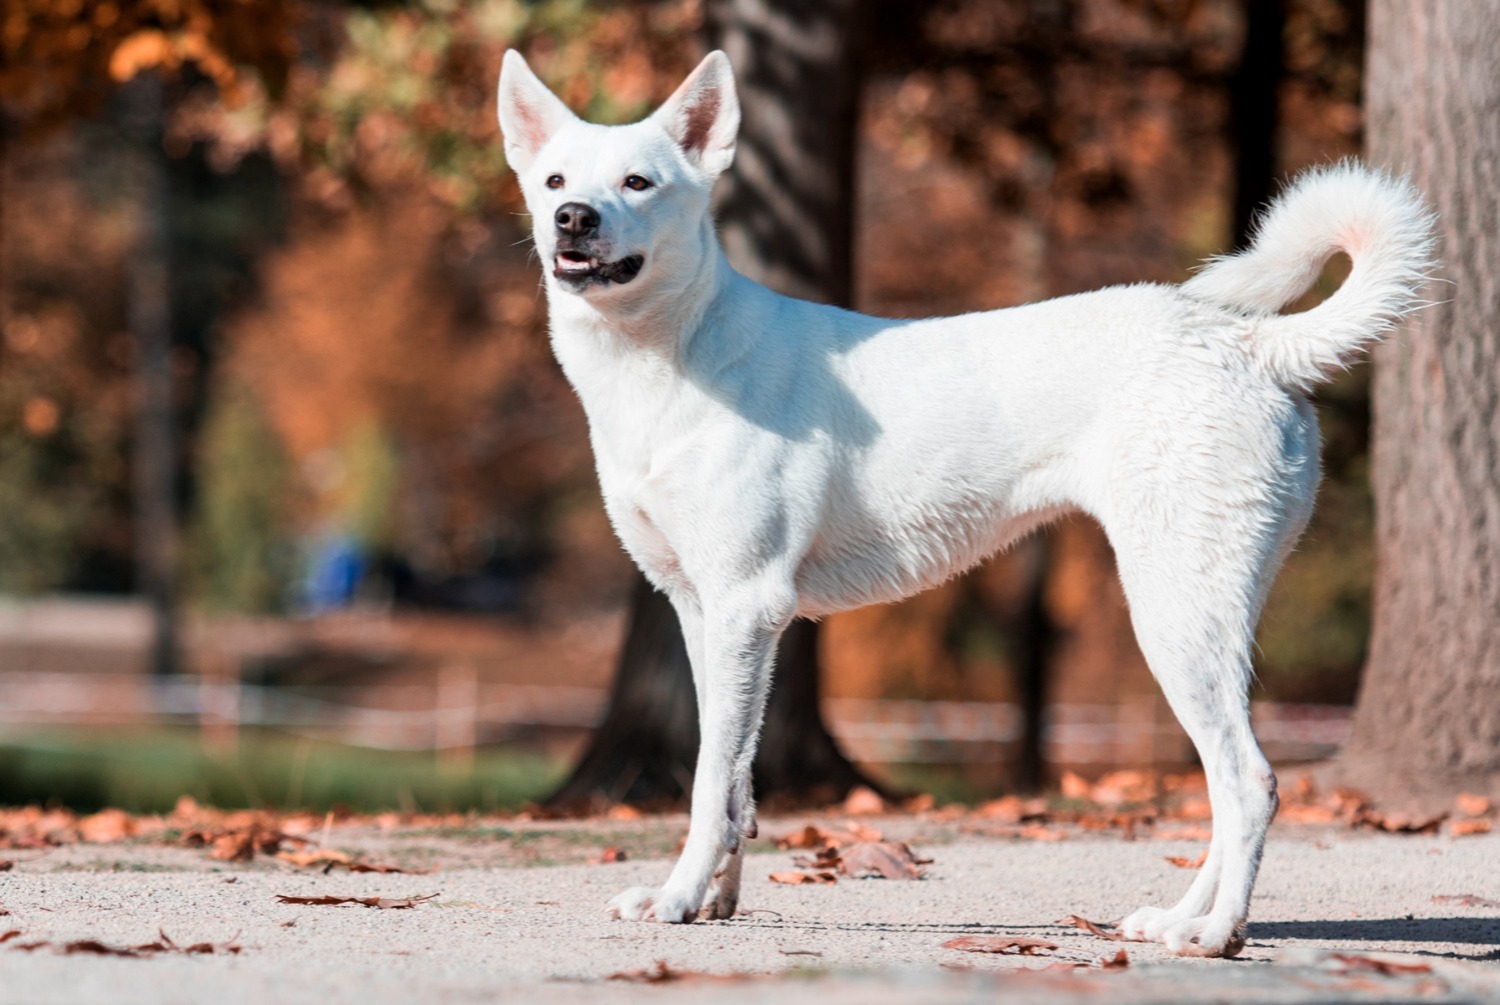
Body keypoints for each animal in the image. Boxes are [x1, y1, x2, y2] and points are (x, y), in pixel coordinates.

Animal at [498, 49, 1434, 960]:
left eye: (639, 182)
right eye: (554, 181)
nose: (572, 219)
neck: (676, 349)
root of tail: (1251, 342)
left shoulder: (744, 606)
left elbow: (706, 781)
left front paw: (680, 898)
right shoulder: (705, 615)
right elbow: (733, 780)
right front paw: (716, 899)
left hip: (1176, 615)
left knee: (1250, 780)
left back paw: (1212, 934)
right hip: (1205, 616)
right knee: (1226, 783)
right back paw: (1178, 916)